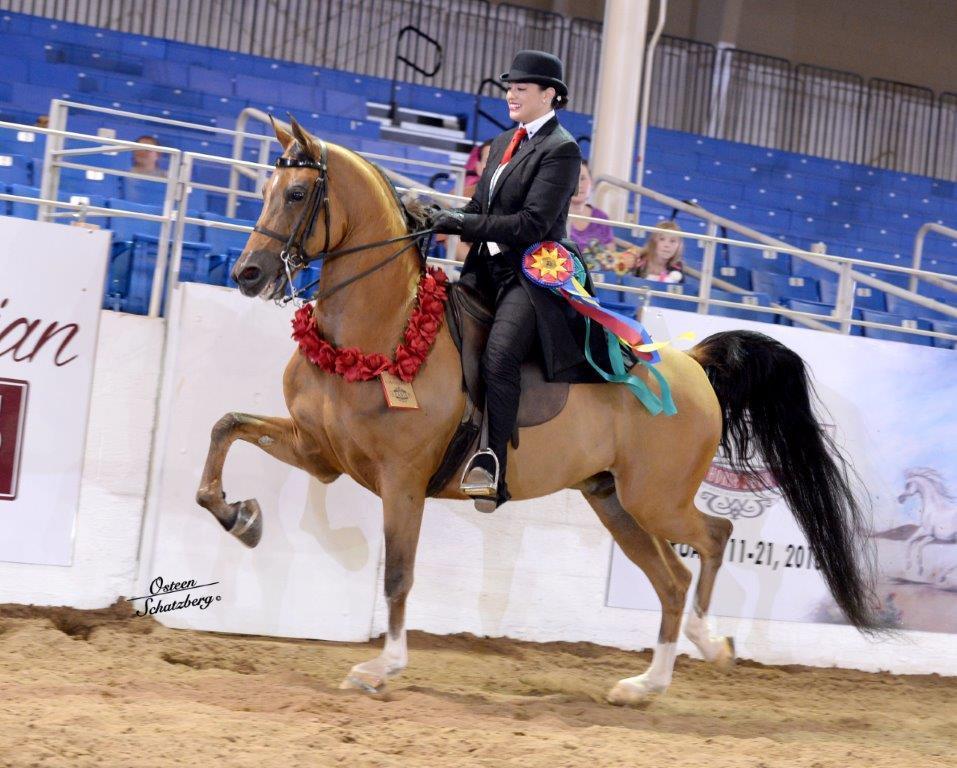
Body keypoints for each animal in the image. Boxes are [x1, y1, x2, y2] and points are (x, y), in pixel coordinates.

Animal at [196, 117, 880, 705]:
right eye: (265, 188)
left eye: (298, 192)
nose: (247, 274)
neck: (382, 331)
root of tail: (689, 363)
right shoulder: (321, 452)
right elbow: (225, 428)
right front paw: (241, 518)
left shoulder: (402, 481)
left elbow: (398, 574)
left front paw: (381, 667)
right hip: (613, 501)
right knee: (672, 580)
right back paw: (645, 686)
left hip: (656, 498)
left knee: (713, 538)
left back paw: (711, 644)